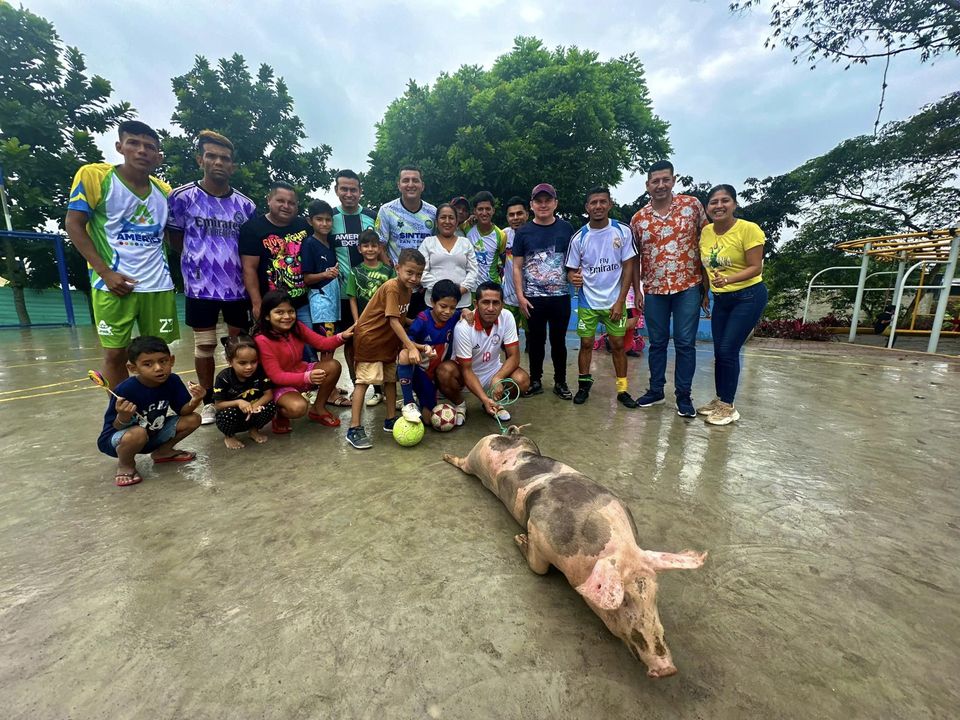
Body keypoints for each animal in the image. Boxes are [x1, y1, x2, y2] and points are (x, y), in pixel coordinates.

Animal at [443, 426, 706, 678]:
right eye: (623, 600)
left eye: (654, 595)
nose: (667, 669)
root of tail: (509, 436)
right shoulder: (537, 530)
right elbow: (539, 569)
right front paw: (518, 538)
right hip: (476, 454)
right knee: (463, 463)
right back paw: (446, 457)